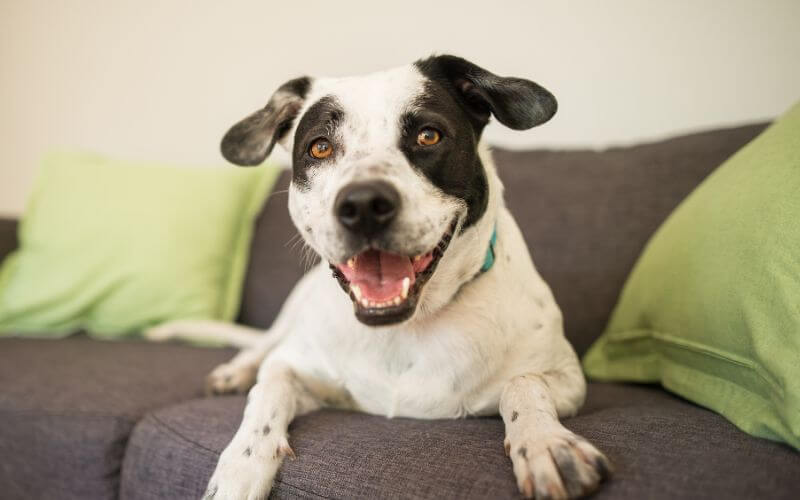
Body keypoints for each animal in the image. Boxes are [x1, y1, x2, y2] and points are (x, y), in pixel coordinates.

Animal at [148, 54, 612, 500]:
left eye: (428, 136)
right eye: (320, 147)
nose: (363, 204)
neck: (405, 328)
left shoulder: (569, 379)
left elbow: (524, 382)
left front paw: (546, 445)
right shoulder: (304, 369)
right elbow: (269, 387)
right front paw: (242, 463)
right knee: (260, 349)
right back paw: (235, 371)